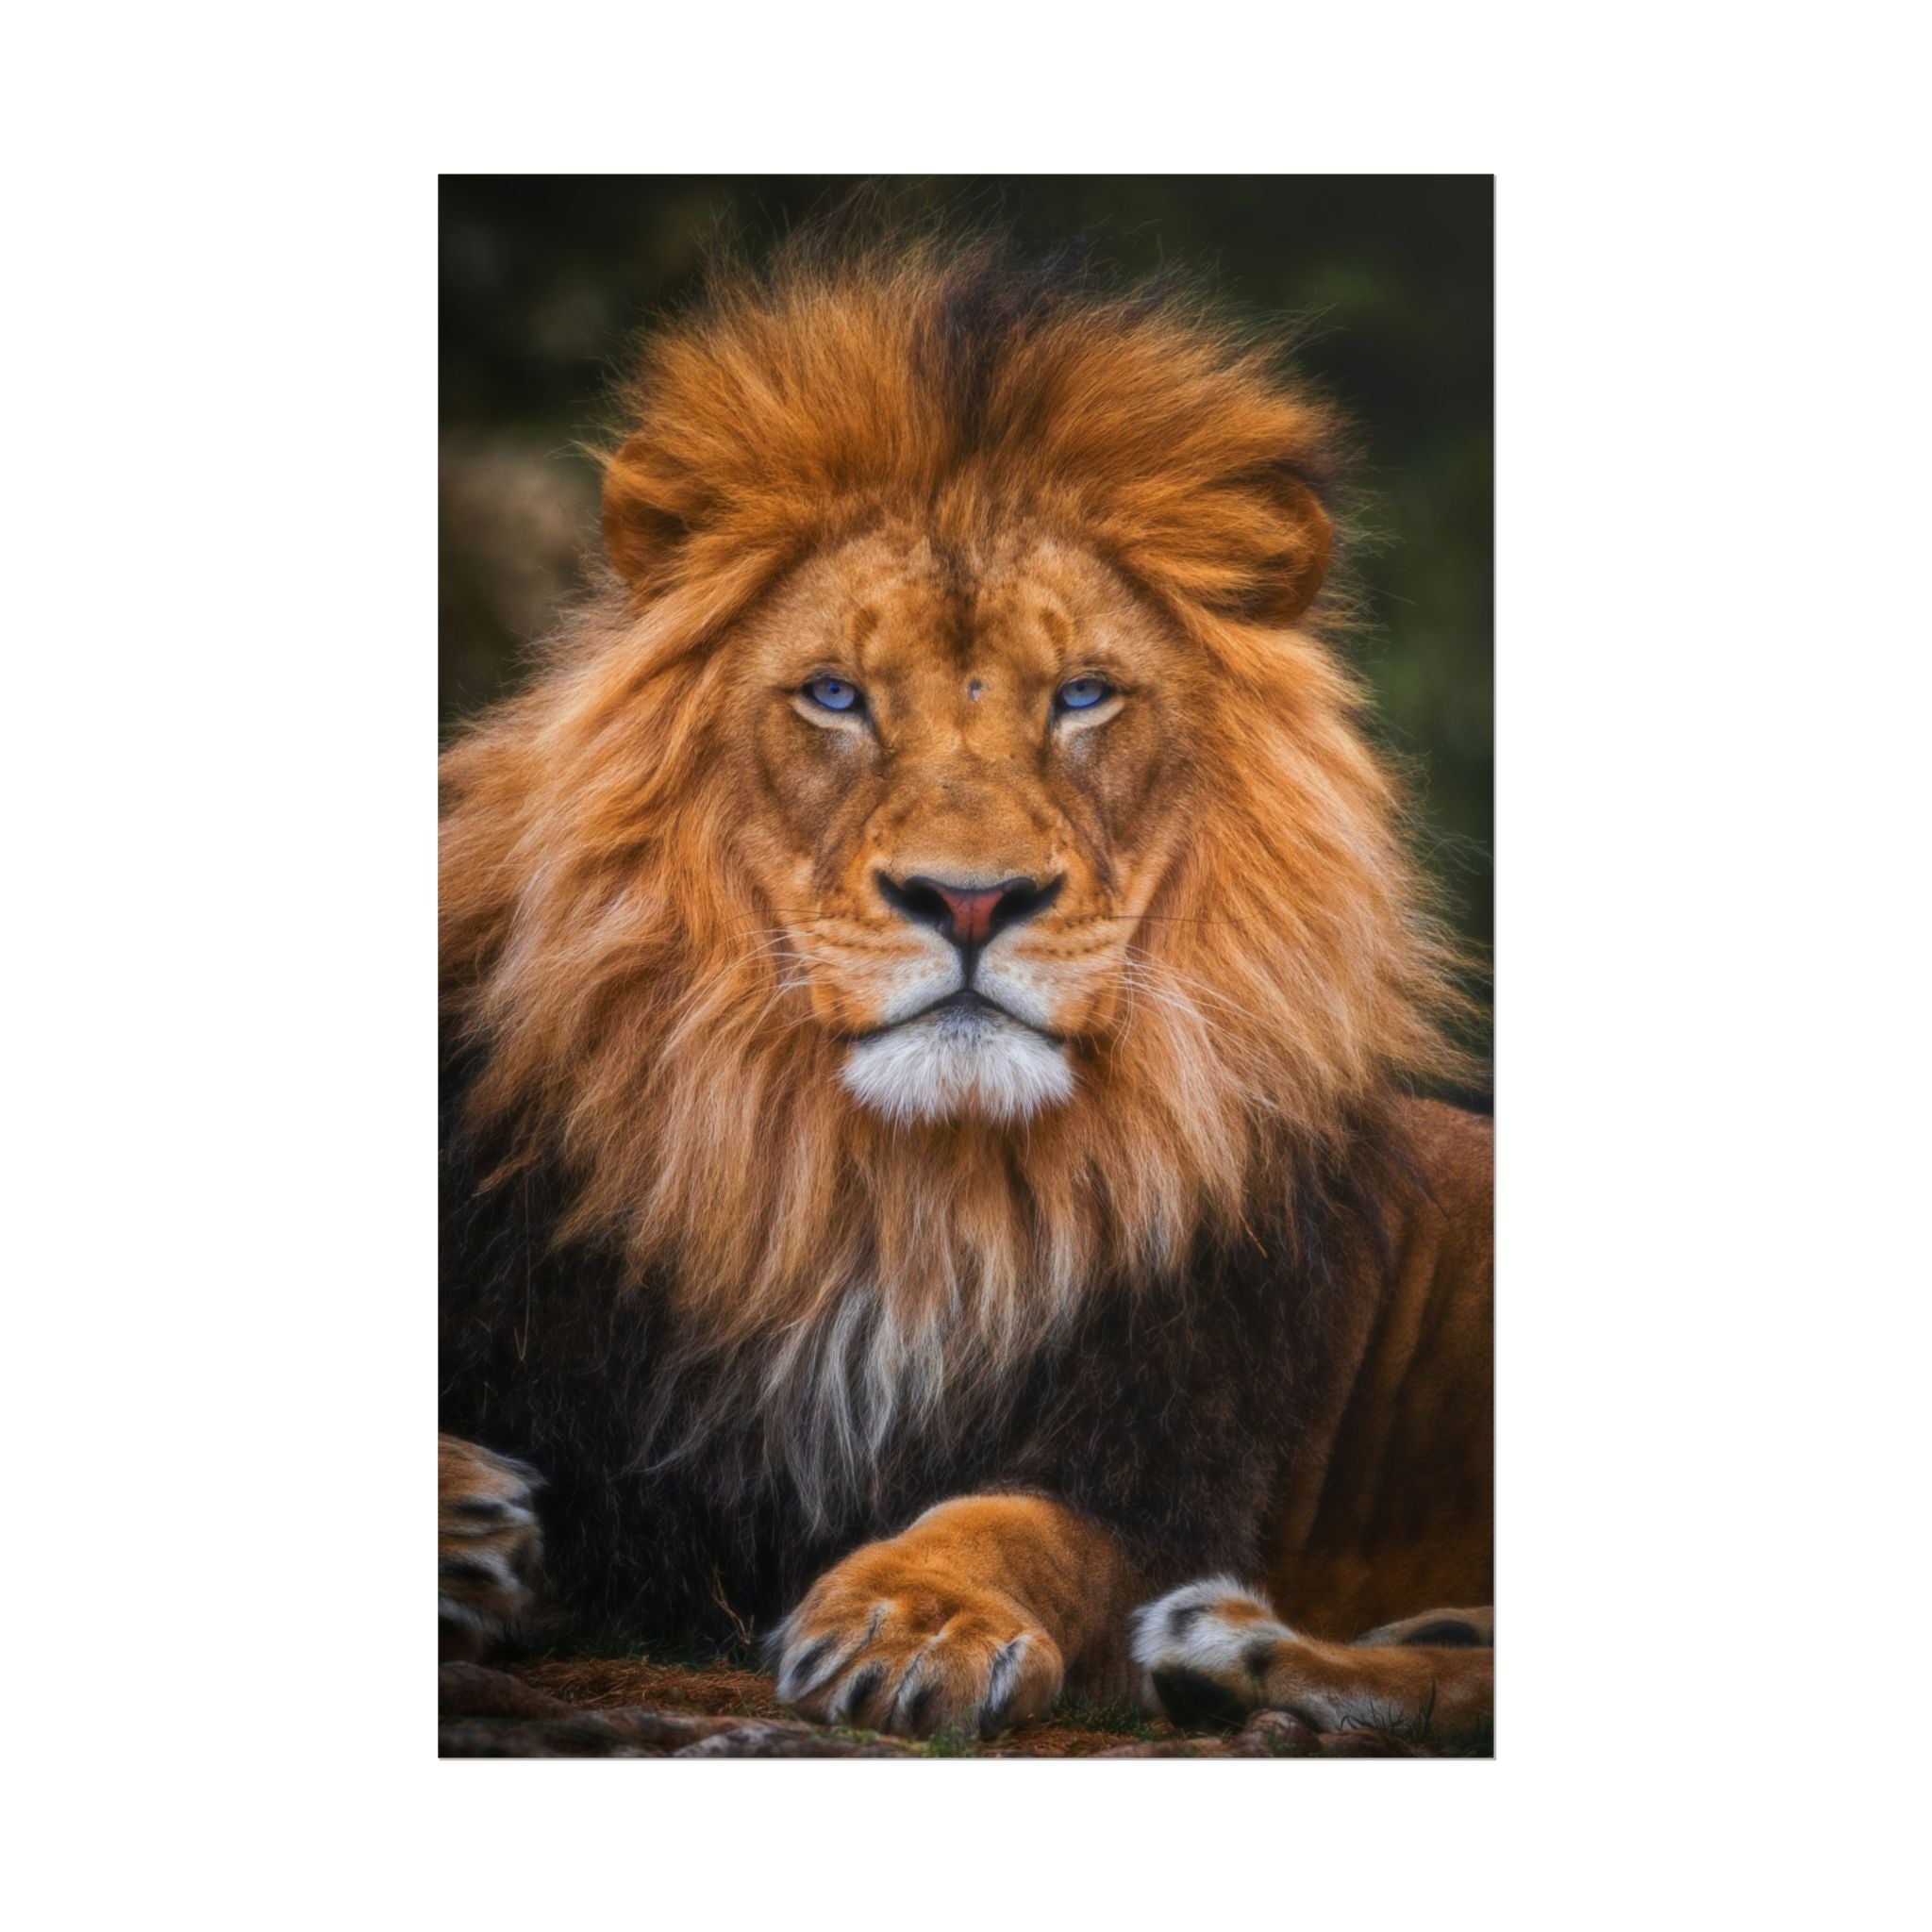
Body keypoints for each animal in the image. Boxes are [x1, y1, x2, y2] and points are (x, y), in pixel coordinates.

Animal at [438, 230, 1493, 1749]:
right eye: (833, 695)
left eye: (1083, 696)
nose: (972, 900)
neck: (892, 1196)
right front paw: (464, 1520)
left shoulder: (1165, 1461)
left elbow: (1020, 1523)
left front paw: (913, 1616)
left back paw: (1237, 1649)